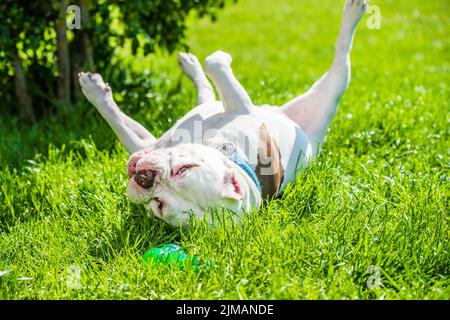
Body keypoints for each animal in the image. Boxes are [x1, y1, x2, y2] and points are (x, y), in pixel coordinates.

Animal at [78, 0, 366, 228]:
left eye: (159, 205)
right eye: (184, 168)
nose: (145, 178)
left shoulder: (238, 107)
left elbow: (214, 63)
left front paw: (92, 89)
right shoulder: (158, 143)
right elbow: (122, 124)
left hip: (329, 97)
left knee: (342, 59)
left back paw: (354, 13)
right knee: (205, 93)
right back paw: (189, 63)